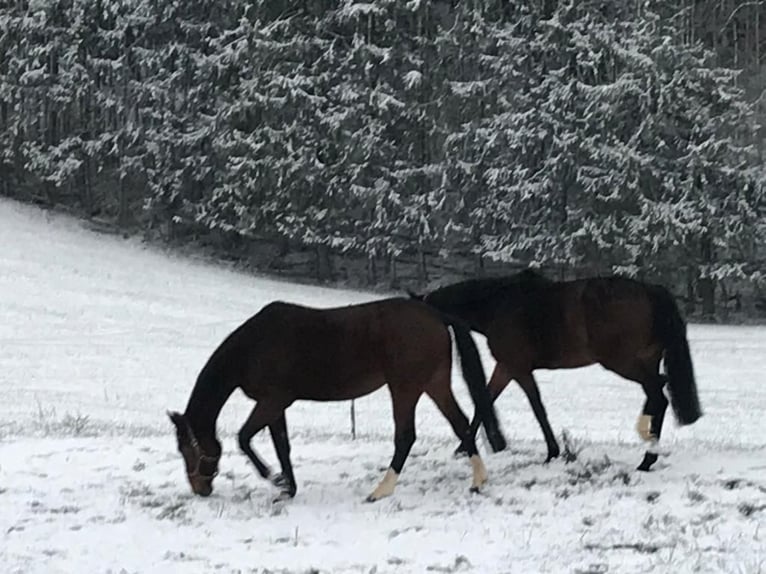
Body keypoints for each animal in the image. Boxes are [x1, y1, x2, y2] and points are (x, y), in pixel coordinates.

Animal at [166, 296, 510, 504]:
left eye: (186, 449)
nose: (200, 489)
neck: (254, 347)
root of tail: (436, 315)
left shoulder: (272, 402)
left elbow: (244, 438)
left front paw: (275, 480)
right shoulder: (276, 406)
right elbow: (282, 446)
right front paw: (288, 488)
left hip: (405, 388)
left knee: (406, 437)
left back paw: (380, 491)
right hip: (434, 384)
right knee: (461, 425)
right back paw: (478, 481)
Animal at [412, 270, 704, 472]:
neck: (498, 305)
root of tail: (650, 291)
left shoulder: (516, 367)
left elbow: (534, 407)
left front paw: (552, 451)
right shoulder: (506, 367)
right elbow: (487, 403)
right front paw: (464, 447)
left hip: (621, 362)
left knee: (658, 395)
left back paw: (647, 456)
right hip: (644, 361)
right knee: (658, 395)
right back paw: (648, 455)